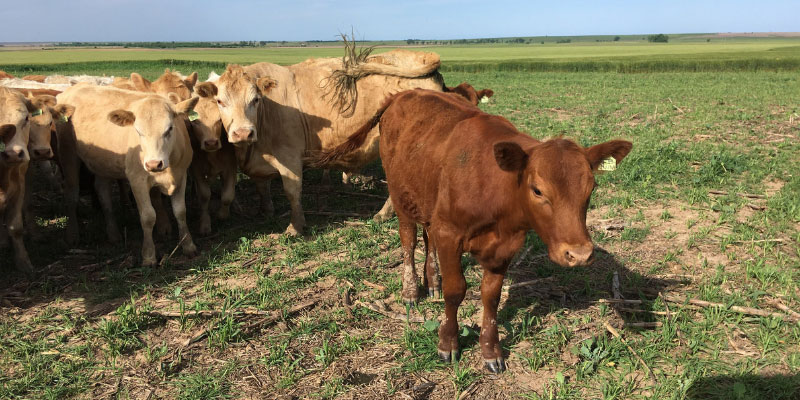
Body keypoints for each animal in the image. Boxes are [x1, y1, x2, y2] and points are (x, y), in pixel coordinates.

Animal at [55, 84, 198, 266]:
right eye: (138, 131)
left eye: (169, 129)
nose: (153, 164)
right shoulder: (137, 180)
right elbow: (148, 216)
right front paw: (149, 256)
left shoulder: (181, 176)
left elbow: (180, 212)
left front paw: (188, 246)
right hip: (68, 155)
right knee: (72, 194)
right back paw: (72, 235)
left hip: (102, 163)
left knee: (103, 193)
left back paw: (113, 233)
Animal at [211, 51, 444, 236]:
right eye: (219, 101)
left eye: (255, 100)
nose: (242, 133)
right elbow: (262, 187)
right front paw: (266, 211)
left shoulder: (289, 157)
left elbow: (292, 192)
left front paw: (295, 227)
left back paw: (385, 214)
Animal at [312, 89, 632, 374]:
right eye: (538, 190)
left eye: (591, 187)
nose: (579, 254)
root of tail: (401, 94)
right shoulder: (450, 234)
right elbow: (456, 291)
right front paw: (448, 343)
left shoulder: (504, 246)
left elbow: (491, 296)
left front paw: (491, 351)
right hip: (400, 196)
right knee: (409, 240)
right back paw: (411, 290)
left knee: (427, 239)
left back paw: (432, 280)